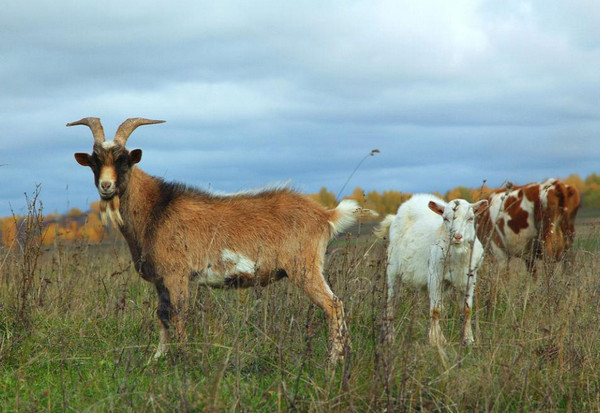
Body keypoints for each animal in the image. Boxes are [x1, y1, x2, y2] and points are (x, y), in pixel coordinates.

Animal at [69, 116, 370, 360]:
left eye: (123, 160)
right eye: (95, 162)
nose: (106, 186)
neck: (157, 208)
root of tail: (325, 215)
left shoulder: (177, 275)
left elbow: (179, 315)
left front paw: (183, 360)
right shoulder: (161, 280)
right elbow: (163, 316)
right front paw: (157, 359)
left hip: (304, 268)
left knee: (333, 305)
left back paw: (333, 361)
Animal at [376, 193, 488, 344]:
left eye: (471, 218)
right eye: (445, 218)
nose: (457, 236)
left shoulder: (470, 278)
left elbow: (467, 310)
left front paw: (468, 339)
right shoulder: (435, 275)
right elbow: (435, 310)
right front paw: (435, 341)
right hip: (393, 270)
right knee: (391, 304)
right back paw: (390, 338)